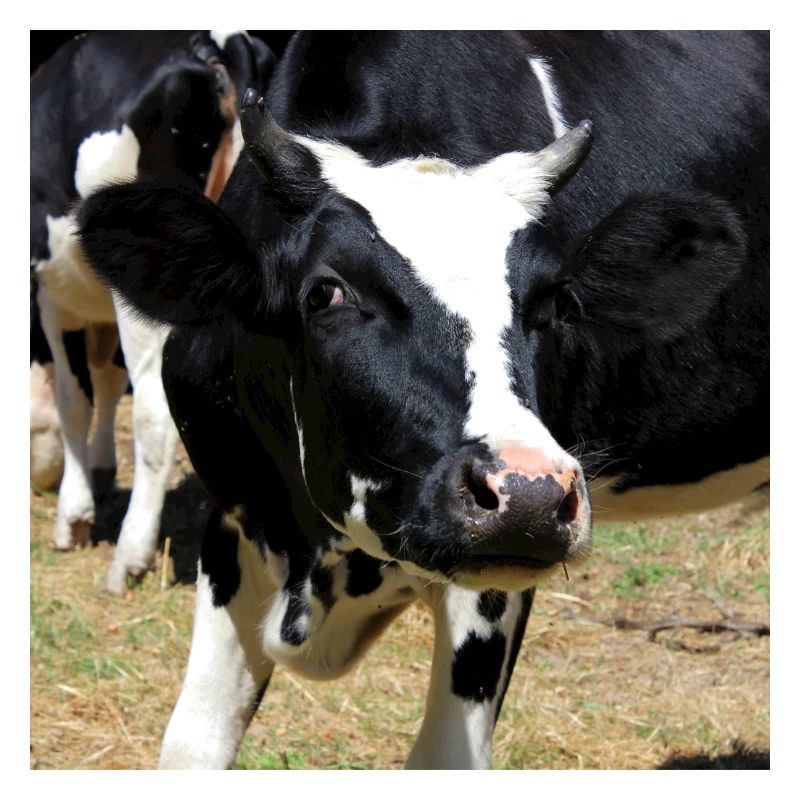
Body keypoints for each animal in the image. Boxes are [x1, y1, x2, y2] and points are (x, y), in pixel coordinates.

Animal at [30, 30, 274, 594]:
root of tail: (212, 44)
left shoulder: (54, 294)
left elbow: (75, 398)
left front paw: (74, 515)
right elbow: (106, 379)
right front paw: (101, 470)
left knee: (154, 411)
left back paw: (130, 556)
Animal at [77, 31, 768, 768]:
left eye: (555, 304)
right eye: (326, 292)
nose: (530, 494)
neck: (320, 558)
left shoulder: (491, 585)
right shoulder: (236, 516)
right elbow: (191, 744)